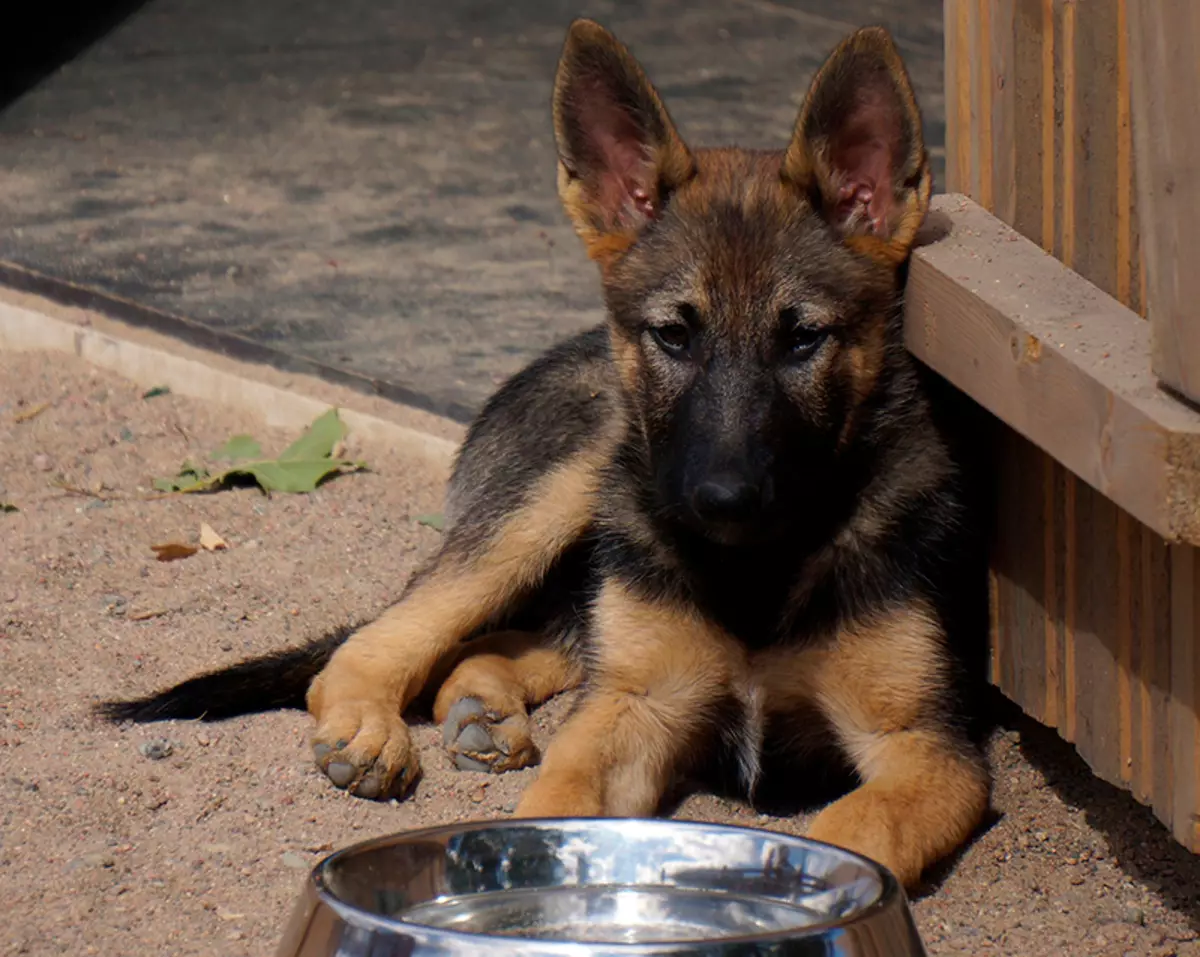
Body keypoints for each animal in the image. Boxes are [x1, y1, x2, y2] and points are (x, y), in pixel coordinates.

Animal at [103, 20, 988, 892]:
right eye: (674, 334)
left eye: (804, 338)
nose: (721, 500)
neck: (754, 573)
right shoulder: (637, 704)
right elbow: (561, 800)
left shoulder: (927, 749)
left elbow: (857, 830)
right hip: (557, 499)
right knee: (385, 640)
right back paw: (375, 727)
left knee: (508, 643)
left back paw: (481, 707)